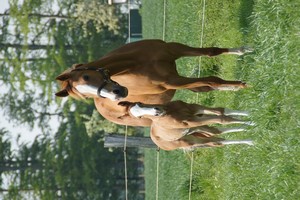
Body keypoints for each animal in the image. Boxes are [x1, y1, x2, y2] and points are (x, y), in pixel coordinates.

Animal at [55, 39, 251, 126]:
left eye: (87, 76)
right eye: (85, 95)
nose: (117, 94)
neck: (137, 64)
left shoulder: (174, 49)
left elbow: (212, 52)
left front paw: (243, 51)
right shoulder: (172, 81)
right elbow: (212, 81)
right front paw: (242, 85)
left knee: (202, 89)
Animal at [119, 101, 253, 150]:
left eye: (140, 103)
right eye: (139, 117)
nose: (157, 111)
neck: (170, 112)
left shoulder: (194, 109)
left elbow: (222, 111)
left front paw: (250, 117)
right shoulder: (192, 120)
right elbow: (222, 119)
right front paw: (251, 121)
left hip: (193, 129)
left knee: (216, 133)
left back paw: (248, 136)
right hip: (191, 139)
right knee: (216, 141)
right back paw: (250, 140)